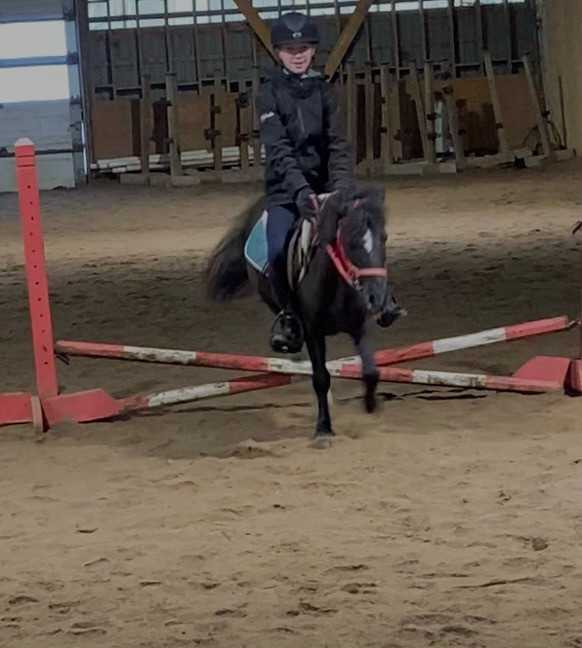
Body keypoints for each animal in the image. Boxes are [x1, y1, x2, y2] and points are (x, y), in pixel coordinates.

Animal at [205, 185, 402, 442]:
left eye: (384, 238)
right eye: (350, 241)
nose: (376, 298)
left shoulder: (359, 326)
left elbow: (370, 371)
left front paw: (371, 407)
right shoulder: (313, 331)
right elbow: (321, 377)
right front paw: (323, 429)